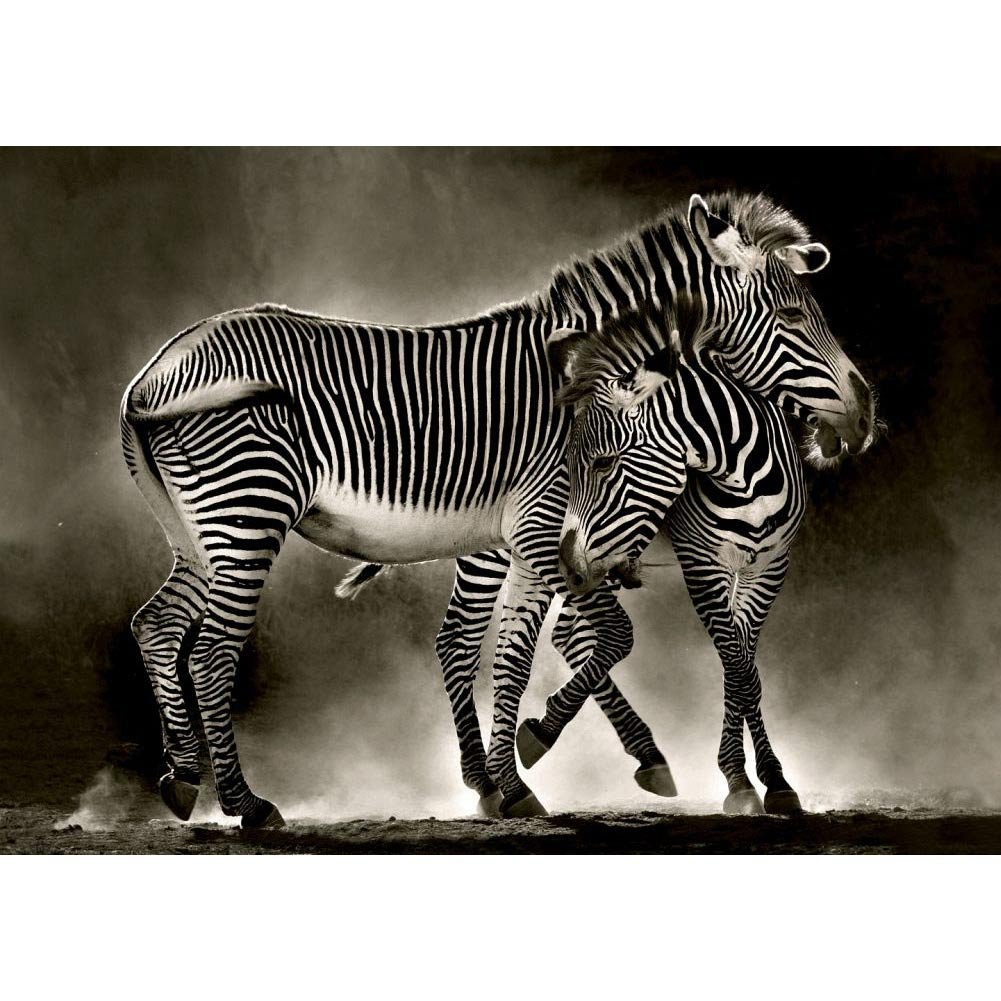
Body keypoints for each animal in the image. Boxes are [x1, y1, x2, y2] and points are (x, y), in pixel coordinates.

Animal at [122, 192, 873, 827]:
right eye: (792, 317)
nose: (862, 413)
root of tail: (151, 373)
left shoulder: (546, 538)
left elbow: (533, 647)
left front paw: (510, 778)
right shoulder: (550, 527)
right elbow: (574, 642)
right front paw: (523, 768)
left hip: (199, 532)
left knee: (157, 624)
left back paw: (183, 777)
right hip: (249, 510)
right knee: (212, 650)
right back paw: (247, 803)